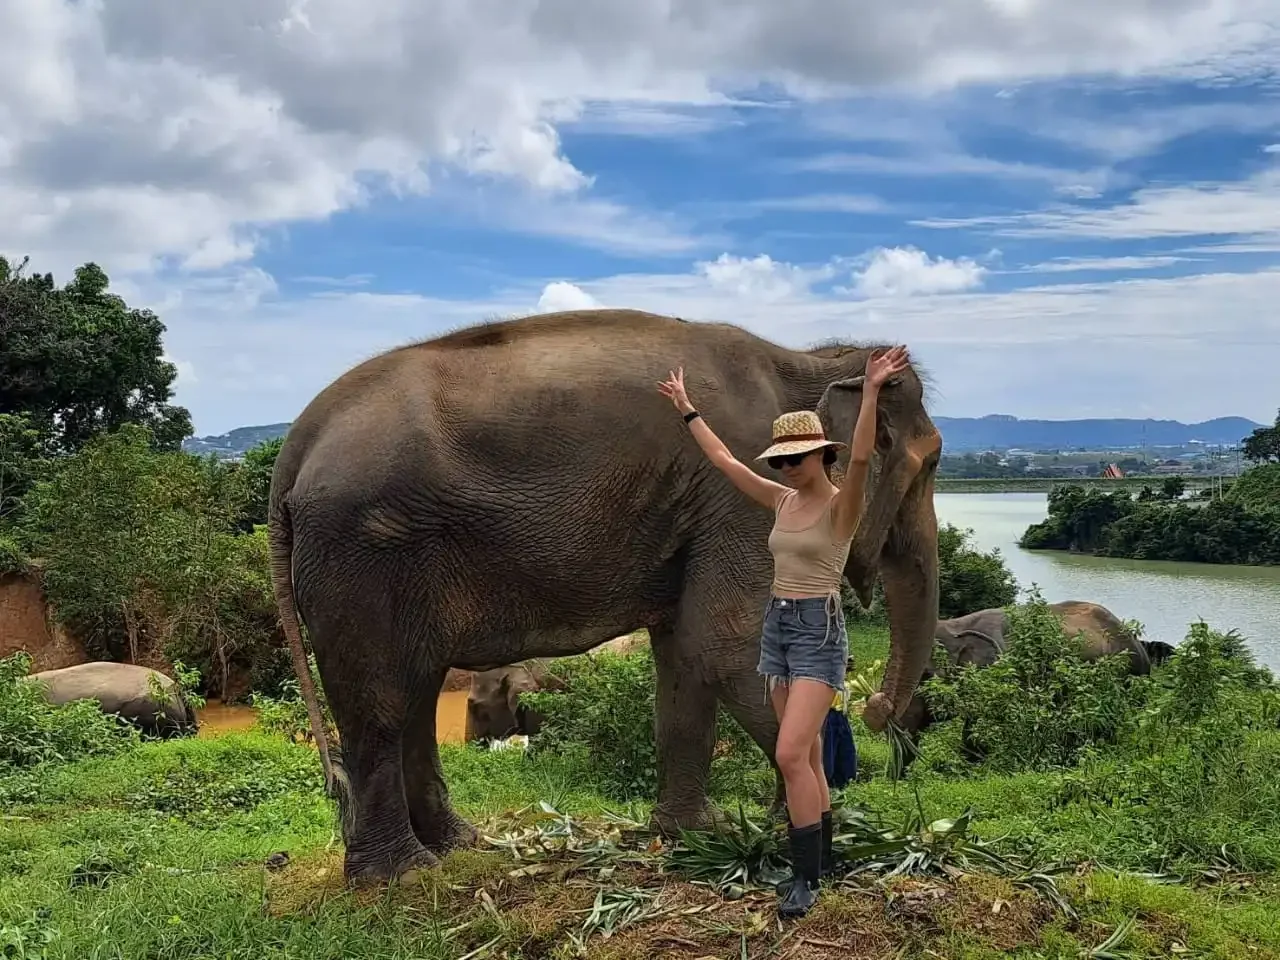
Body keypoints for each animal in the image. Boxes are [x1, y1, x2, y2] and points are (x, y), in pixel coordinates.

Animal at [268, 308, 942, 883]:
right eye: (931, 463)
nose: (874, 706)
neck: (805, 360)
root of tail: (295, 447)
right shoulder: (741, 493)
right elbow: (726, 646)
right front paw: (824, 829)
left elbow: (686, 655)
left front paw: (694, 834)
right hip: (360, 553)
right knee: (382, 699)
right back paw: (402, 876)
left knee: (415, 690)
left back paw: (459, 848)